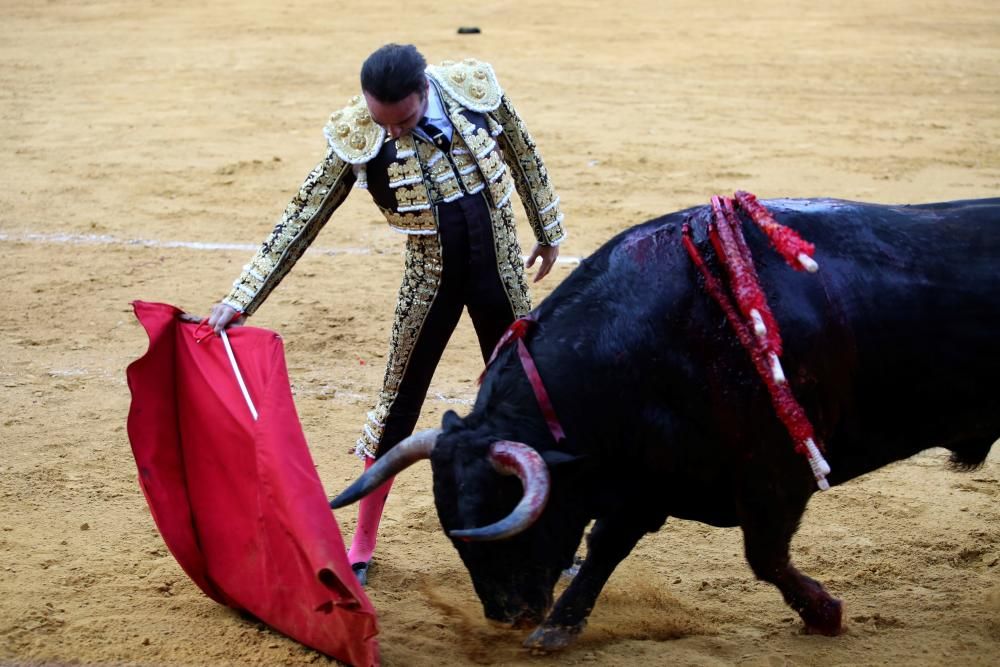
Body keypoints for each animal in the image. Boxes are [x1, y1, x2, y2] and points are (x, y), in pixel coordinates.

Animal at [332, 196, 996, 648]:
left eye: (507, 522)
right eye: (454, 534)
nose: (506, 614)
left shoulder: (773, 478)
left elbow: (764, 557)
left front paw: (824, 614)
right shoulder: (643, 479)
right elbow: (605, 547)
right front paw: (558, 629)